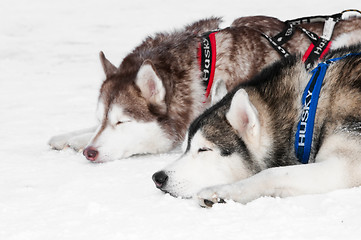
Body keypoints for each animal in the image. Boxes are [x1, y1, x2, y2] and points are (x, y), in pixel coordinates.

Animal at [153, 44, 361, 207]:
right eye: (185, 149)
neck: (308, 109)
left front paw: (222, 192)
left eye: (203, 149)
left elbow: (271, 174)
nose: (158, 178)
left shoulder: (345, 166)